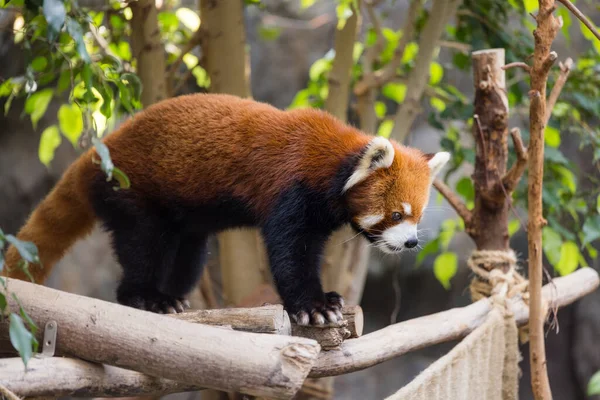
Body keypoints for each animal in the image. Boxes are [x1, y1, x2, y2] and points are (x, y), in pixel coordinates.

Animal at [3, 94, 446, 324]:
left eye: (417, 217)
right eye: (396, 214)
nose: (410, 243)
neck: (332, 161)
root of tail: (100, 152)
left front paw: (326, 300)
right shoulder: (290, 191)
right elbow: (289, 252)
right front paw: (314, 306)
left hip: (184, 220)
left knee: (189, 254)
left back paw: (171, 298)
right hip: (132, 192)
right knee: (142, 246)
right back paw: (145, 297)